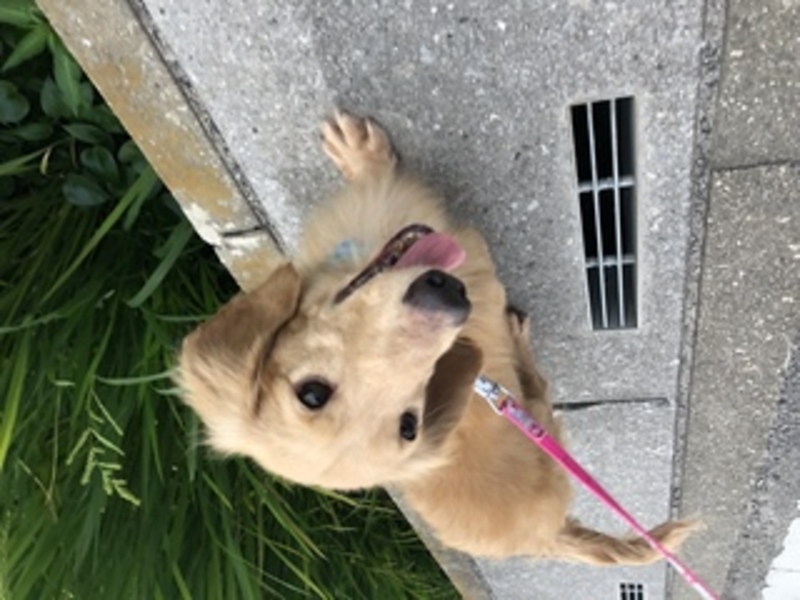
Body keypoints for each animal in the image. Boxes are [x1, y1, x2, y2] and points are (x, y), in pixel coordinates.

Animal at [179, 111, 696, 563]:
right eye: (411, 425)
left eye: (312, 393)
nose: (446, 300)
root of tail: (549, 538)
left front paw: (358, 156)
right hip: (545, 435)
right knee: (540, 393)